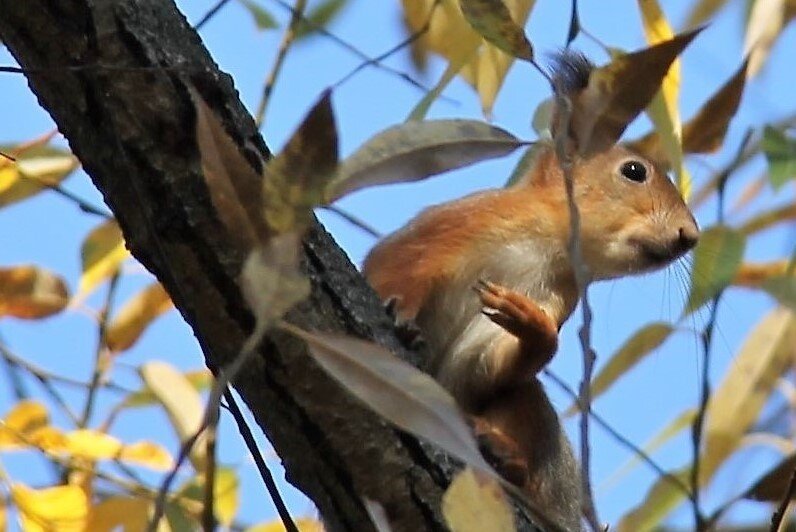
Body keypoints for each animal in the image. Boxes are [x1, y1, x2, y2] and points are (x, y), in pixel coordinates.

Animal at [364, 51, 700, 532]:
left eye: (544, 315)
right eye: (635, 171)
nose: (690, 236)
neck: (546, 245)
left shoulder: (557, 296)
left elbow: (486, 367)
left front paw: (531, 324)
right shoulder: (446, 229)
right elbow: (393, 267)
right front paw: (399, 313)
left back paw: (503, 455)